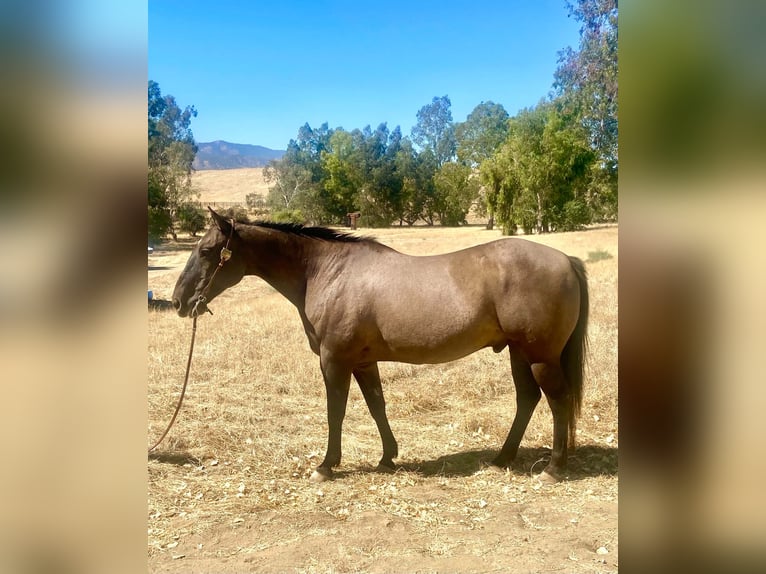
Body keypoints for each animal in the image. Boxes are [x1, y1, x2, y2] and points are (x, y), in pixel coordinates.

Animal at [172, 208, 589, 483]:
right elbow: (376, 406)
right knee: (527, 399)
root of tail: (565, 260)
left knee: (557, 400)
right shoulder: (362, 362)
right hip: (520, 353)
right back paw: (502, 459)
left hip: (540, 356)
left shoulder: (335, 361)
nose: (178, 302)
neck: (326, 272)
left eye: (207, 251)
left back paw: (553, 469)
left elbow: (336, 412)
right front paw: (388, 458)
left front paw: (326, 465)